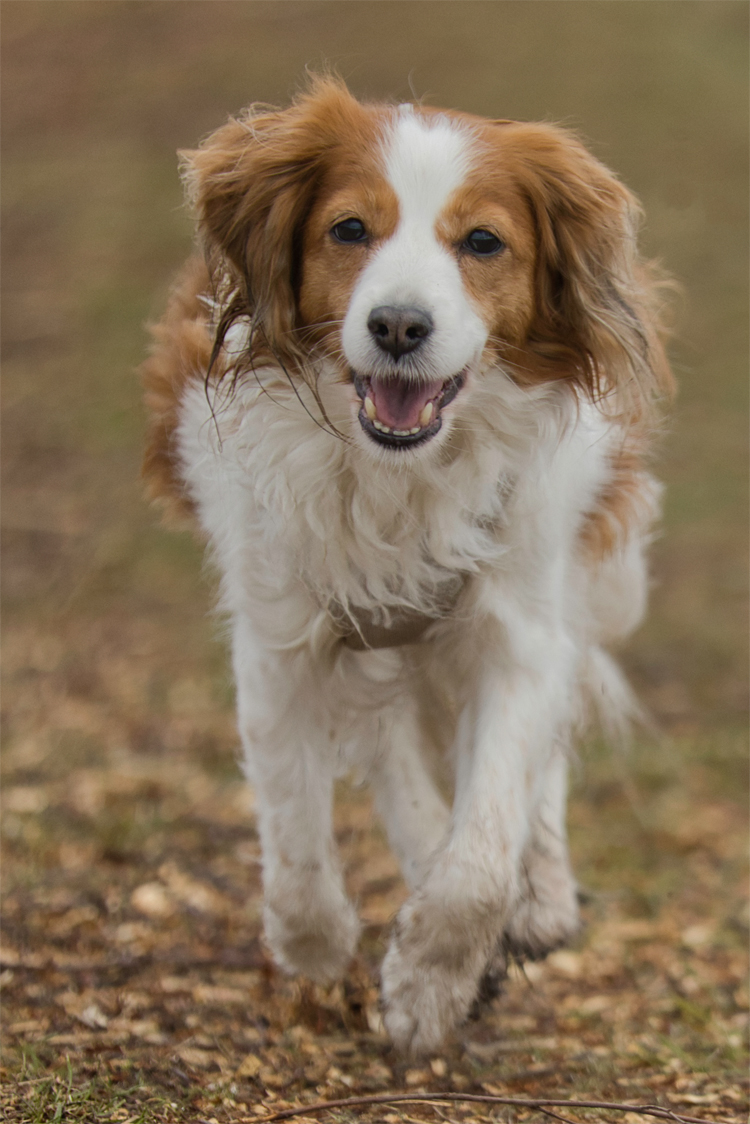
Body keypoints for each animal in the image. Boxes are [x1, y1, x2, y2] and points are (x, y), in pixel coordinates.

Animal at [140, 79, 674, 1052]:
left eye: (483, 242)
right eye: (350, 229)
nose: (396, 325)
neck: (398, 477)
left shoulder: (518, 630)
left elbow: (484, 853)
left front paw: (431, 981)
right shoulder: (280, 640)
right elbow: (295, 836)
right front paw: (318, 951)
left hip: (597, 577)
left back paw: (539, 897)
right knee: (393, 757)